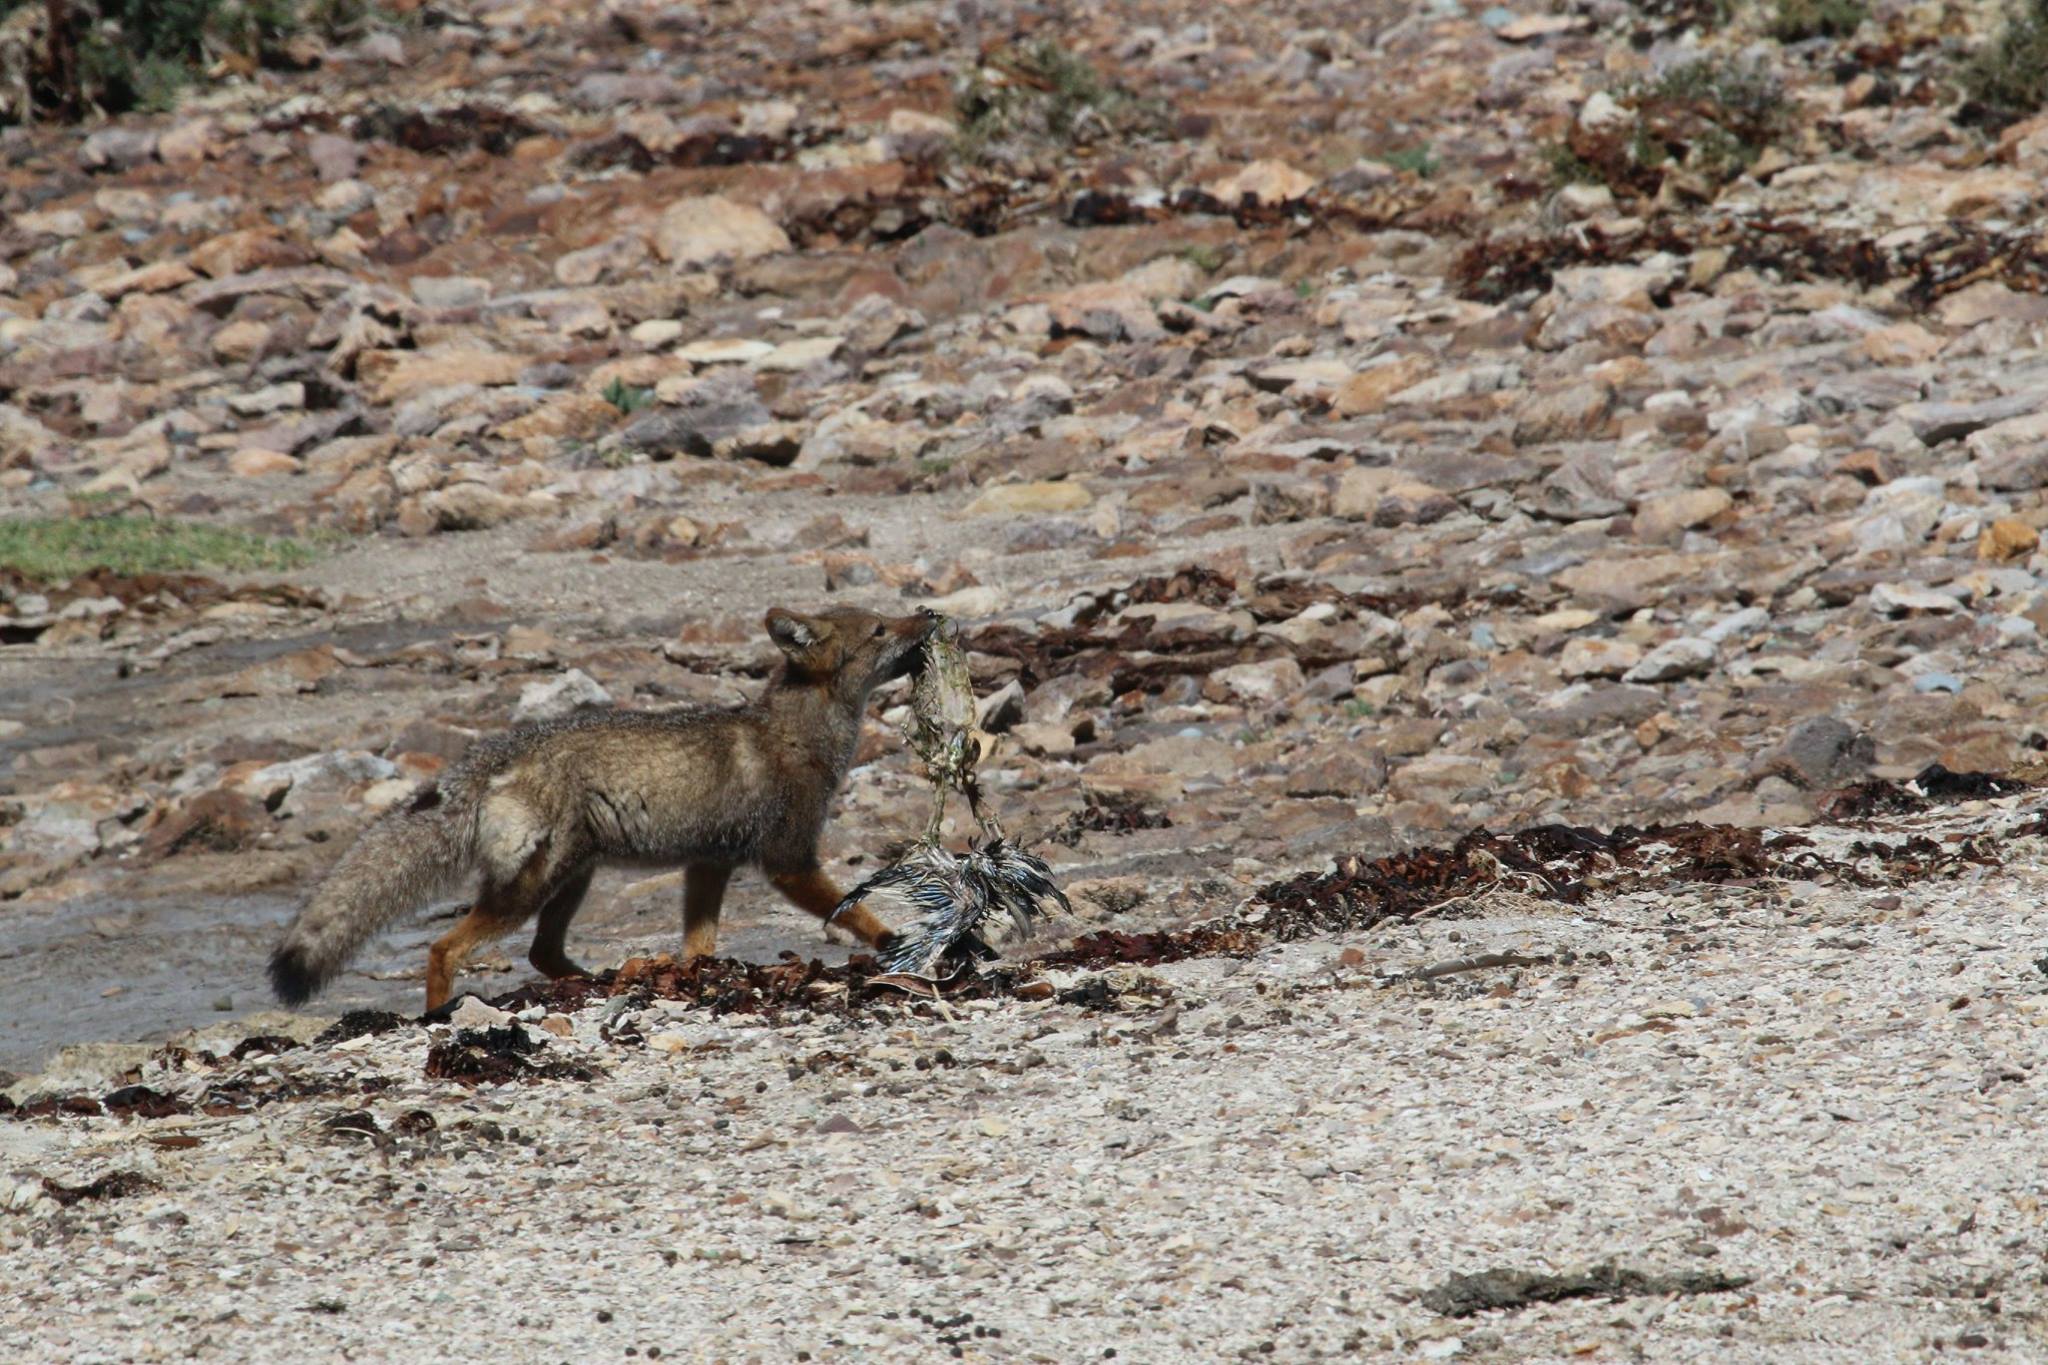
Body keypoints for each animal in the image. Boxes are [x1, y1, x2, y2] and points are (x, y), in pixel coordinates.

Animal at [267, 605, 940, 1013]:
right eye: (881, 630)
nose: (931, 612)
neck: (793, 736)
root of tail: (489, 753)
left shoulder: (709, 866)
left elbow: (698, 949)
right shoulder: (789, 862)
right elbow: (857, 910)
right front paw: (898, 941)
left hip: (573, 879)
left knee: (541, 953)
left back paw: (598, 982)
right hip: (532, 889)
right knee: (445, 949)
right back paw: (441, 1017)